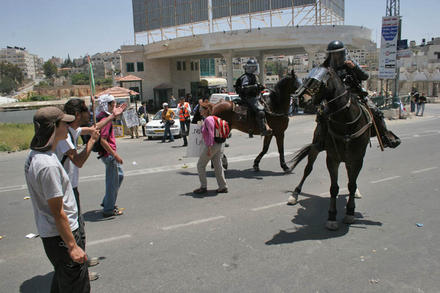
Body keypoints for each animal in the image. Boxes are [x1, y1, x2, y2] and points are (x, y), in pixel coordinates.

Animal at [288, 66, 372, 230]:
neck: (346, 123)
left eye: (315, 81)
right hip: (317, 146)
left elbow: (351, 184)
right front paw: (332, 217)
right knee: (308, 169)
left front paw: (350, 212)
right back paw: (294, 194)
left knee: (352, 179)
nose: (300, 99)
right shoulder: (332, 158)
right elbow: (334, 188)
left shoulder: (357, 158)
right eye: (306, 77)